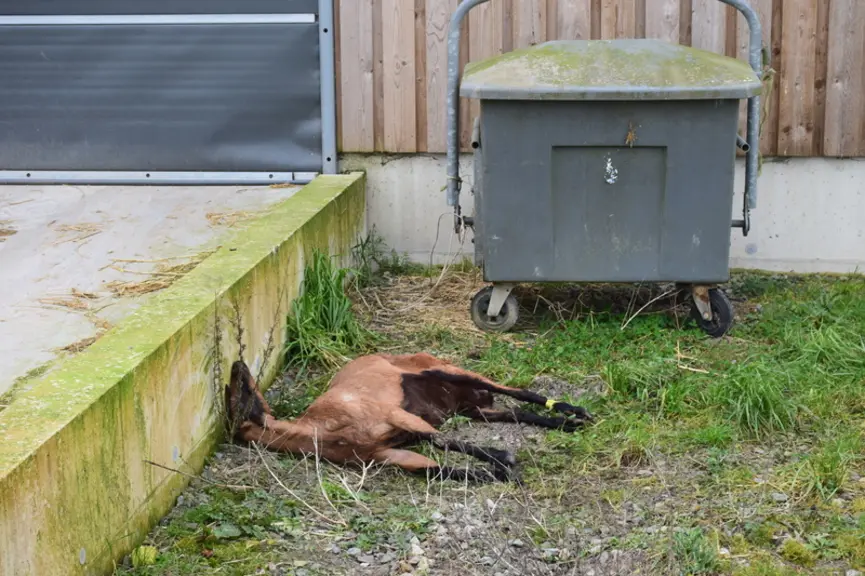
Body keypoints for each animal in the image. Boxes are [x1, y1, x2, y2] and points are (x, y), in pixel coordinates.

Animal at [225, 352, 592, 483]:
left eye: (238, 388)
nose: (236, 363)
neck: (319, 429)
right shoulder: (384, 454)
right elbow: (434, 468)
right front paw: (494, 474)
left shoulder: (393, 414)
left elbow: (442, 441)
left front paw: (503, 459)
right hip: (475, 409)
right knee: (513, 411)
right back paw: (563, 423)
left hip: (449, 370)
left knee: (519, 391)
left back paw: (573, 412)